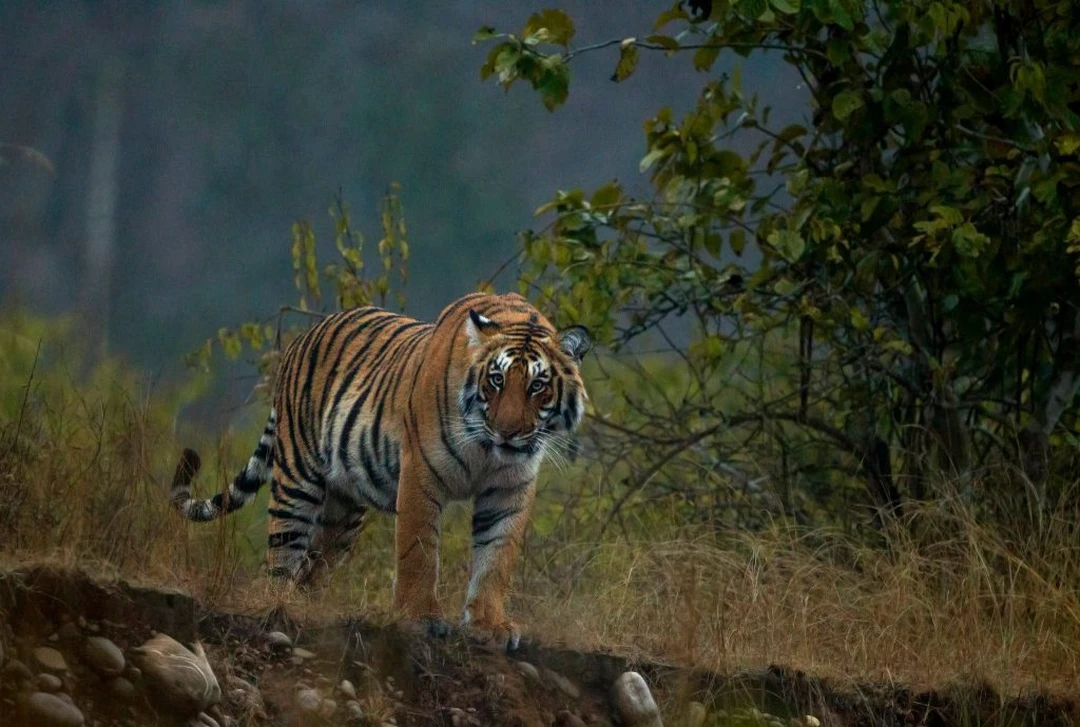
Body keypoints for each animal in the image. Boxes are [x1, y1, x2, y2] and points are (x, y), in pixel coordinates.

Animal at [170, 291, 591, 649]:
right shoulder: (421, 472)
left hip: (343, 513)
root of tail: (306, 335)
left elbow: (496, 557)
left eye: (537, 385)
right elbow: (419, 549)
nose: (507, 432)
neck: (487, 451)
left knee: (312, 564)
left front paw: (489, 625)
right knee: (282, 555)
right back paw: (279, 607)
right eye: (497, 380)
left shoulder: (508, 489)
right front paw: (420, 619)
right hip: (297, 477)